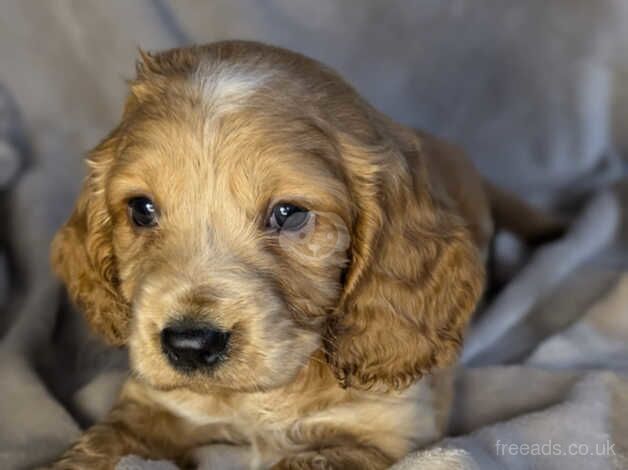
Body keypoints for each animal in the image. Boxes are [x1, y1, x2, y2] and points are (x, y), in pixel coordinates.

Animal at [46, 42, 560, 468]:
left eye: (289, 214)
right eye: (142, 209)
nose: (189, 344)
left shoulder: (382, 433)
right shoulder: (151, 406)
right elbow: (100, 448)